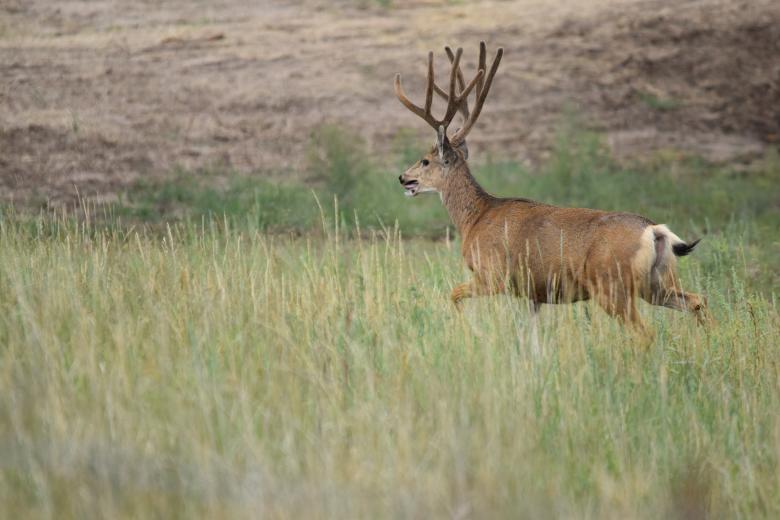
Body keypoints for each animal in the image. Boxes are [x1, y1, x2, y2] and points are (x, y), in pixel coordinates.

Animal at [396, 41, 708, 342]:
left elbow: (453, 294)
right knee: (697, 301)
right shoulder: (533, 292)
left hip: (612, 285)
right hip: (656, 283)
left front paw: (470, 332)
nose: (403, 178)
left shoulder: (494, 275)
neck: (475, 218)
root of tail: (655, 230)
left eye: (425, 160)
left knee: (646, 332)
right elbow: (531, 335)